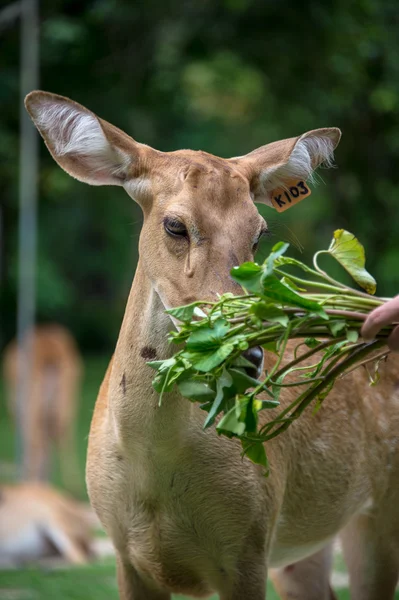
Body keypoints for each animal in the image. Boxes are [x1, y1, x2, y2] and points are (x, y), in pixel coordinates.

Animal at [24, 90, 399, 600]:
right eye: (175, 225)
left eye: (259, 233)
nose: (248, 355)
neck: (154, 475)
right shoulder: (126, 553)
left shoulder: (248, 546)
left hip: (379, 508)